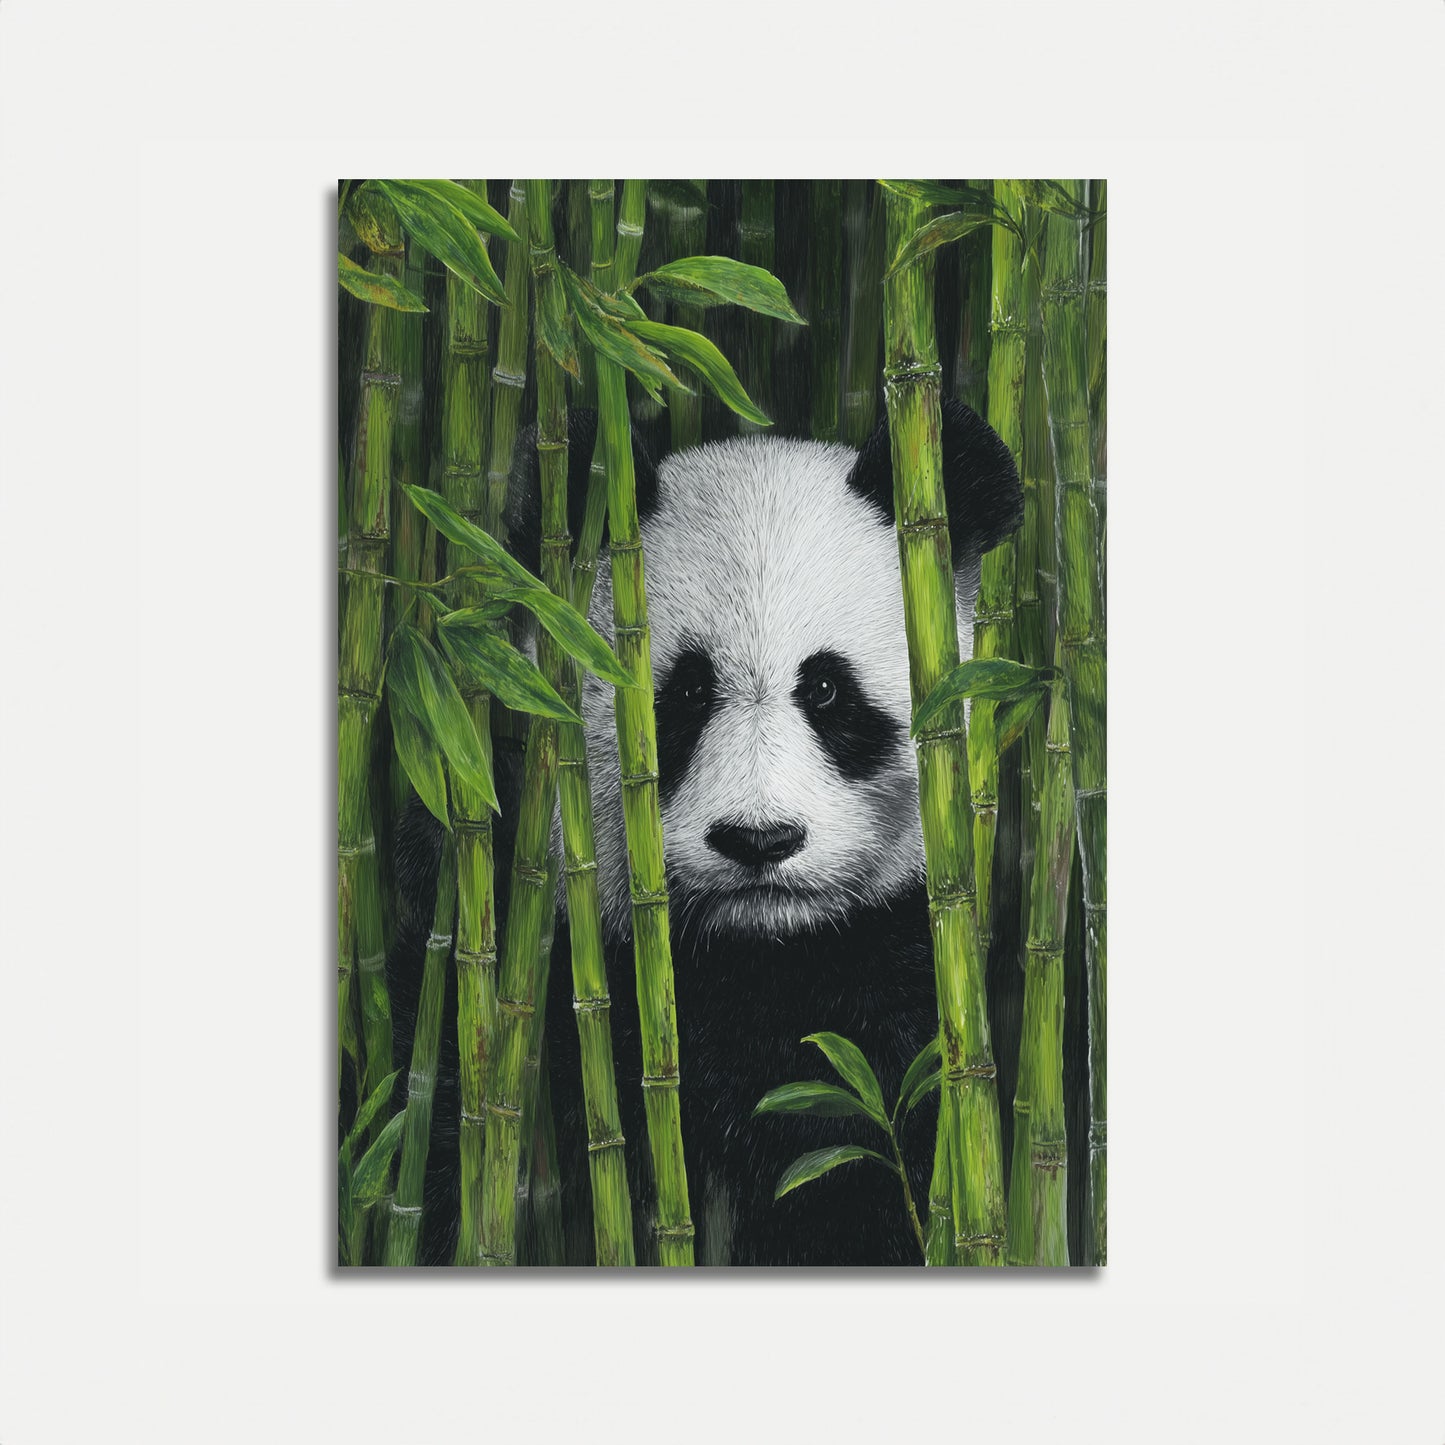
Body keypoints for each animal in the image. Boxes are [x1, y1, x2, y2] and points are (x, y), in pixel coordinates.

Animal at [389, 397, 1022, 1267]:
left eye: (826, 690)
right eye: (686, 691)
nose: (758, 841)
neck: (750, 954)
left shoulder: (903, 975)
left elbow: (861, 1160)